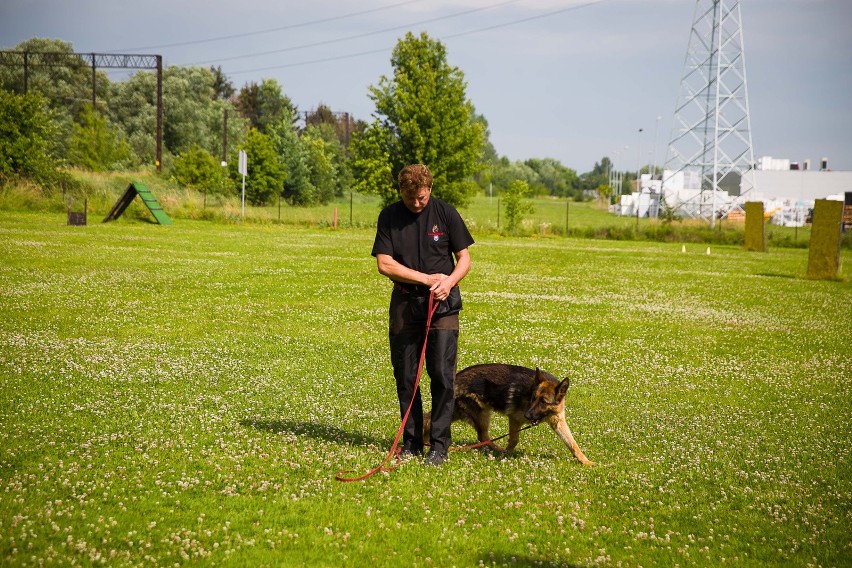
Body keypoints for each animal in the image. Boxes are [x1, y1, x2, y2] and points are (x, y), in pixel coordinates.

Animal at [422, 364, 596, 466]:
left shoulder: (558, 422)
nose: (528, 415)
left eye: (543, 402)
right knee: (482, 436)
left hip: (468, 413)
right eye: (533, 398)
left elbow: (572, 444)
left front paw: (585, 461)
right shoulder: (515, 419)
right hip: (481, 414)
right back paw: (498, 450)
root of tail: (455, 380)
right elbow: (514, 439)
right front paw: (507, 453)